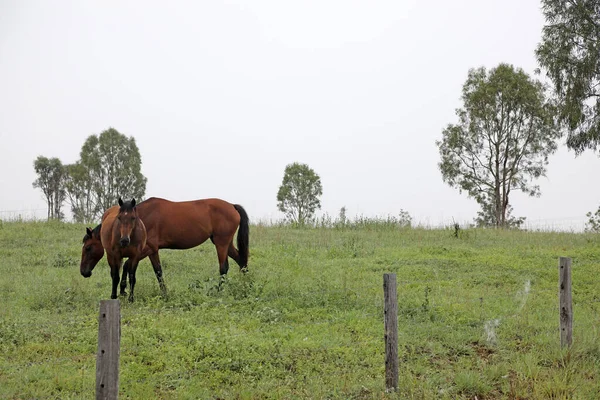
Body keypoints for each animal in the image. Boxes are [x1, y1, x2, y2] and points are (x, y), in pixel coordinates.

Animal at [79, 197, 248, 300]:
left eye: (88, 248)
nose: (84, 272)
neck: (141, 218)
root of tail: (232, 206)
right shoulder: (152, 251)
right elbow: (157, 271)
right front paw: (163, 294)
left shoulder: (148, 248)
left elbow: (131, 266)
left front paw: (123, 289)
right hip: (225, 243)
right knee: (241, 261)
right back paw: (245, 285)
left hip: (221, 243)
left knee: (224, 268)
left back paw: (219, 291)